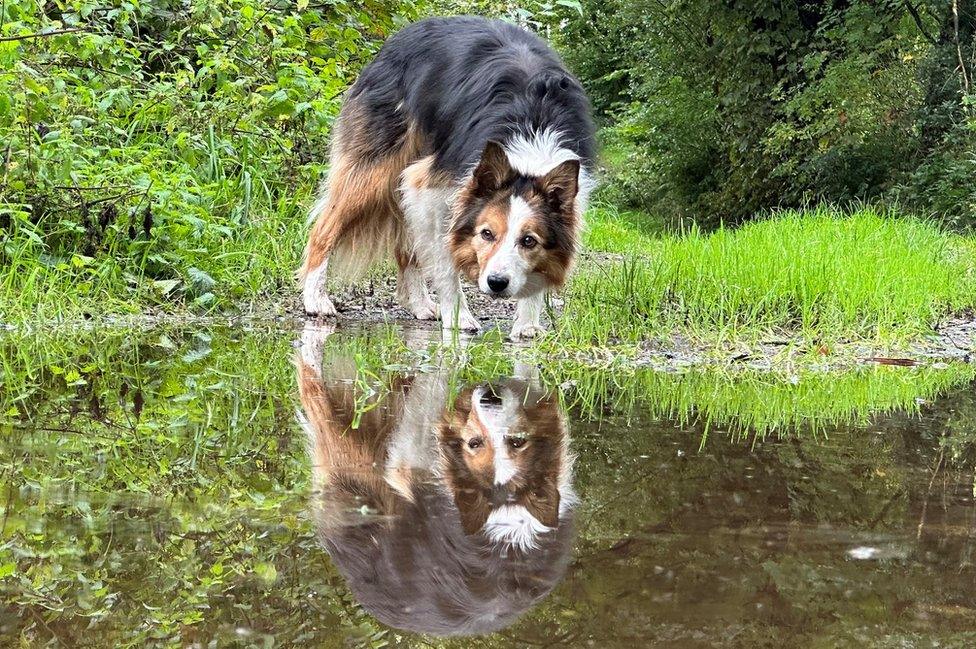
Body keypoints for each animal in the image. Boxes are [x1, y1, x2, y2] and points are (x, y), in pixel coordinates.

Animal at [294, 324, 576, 632]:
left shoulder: (406, 463)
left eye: (516, 442)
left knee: (314, 393)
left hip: (349, 461)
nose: (490, 396)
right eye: (475, 443)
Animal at [300, 16, 596, 340]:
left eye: (529, 241)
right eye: (486, 233)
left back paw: (419, 304)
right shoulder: (430, 187)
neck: (532, 131)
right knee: (324, 229)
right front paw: (458, 317)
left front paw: (528, 324)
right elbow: (445, 263)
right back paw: (315, 299)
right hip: (376, 172)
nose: (496, 283)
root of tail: (400, 36)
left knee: (407, 245)